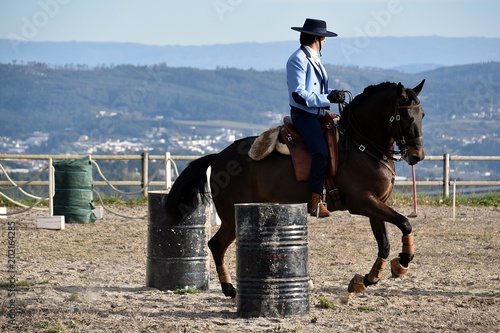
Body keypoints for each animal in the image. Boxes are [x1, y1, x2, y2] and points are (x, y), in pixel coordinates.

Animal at [164, 80, 426, 296]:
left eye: (422, 114)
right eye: (405, 118)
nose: (417, 156)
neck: (361, 144)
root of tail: (219, 156)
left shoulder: (376, 204)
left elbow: (384, 243)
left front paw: (366, 279)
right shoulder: (362, 203)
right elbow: (405, 222)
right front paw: (402, 262)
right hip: (231, 218)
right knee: (216, 245)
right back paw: (230, 289)